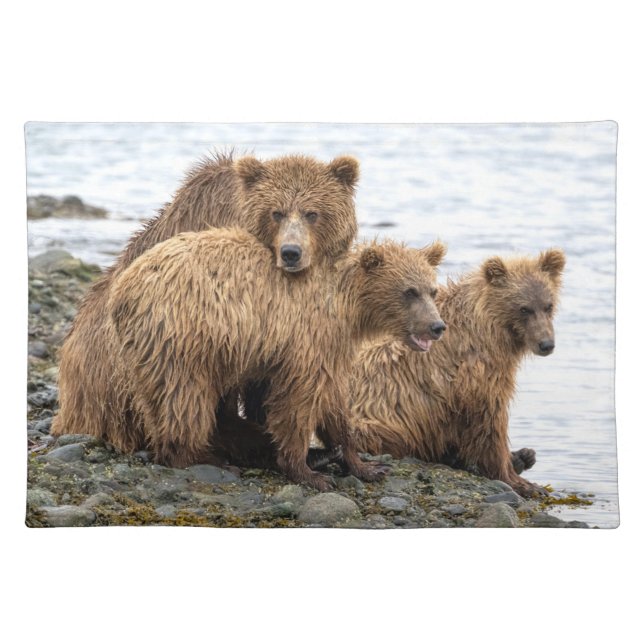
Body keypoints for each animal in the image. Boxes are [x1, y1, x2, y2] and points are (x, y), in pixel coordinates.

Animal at [107, 229, 447, 490]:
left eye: (432, 290)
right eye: (409, 291)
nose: (437, 326)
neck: (347, 307)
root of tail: (121, 289)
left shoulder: (331, 348)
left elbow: (335, 403)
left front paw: (364, 465)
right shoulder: (306, 338)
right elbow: (298, 401)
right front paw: (308, 473)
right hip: (181, 337)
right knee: (184, 399)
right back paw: (204, 458)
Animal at [348, 249, 566, 497]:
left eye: (548, 305)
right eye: (524, 308)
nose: (546, 344)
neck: (490, 329)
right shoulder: (475, 374)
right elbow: (489, 422)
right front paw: (522, 481)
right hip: (373, 420)